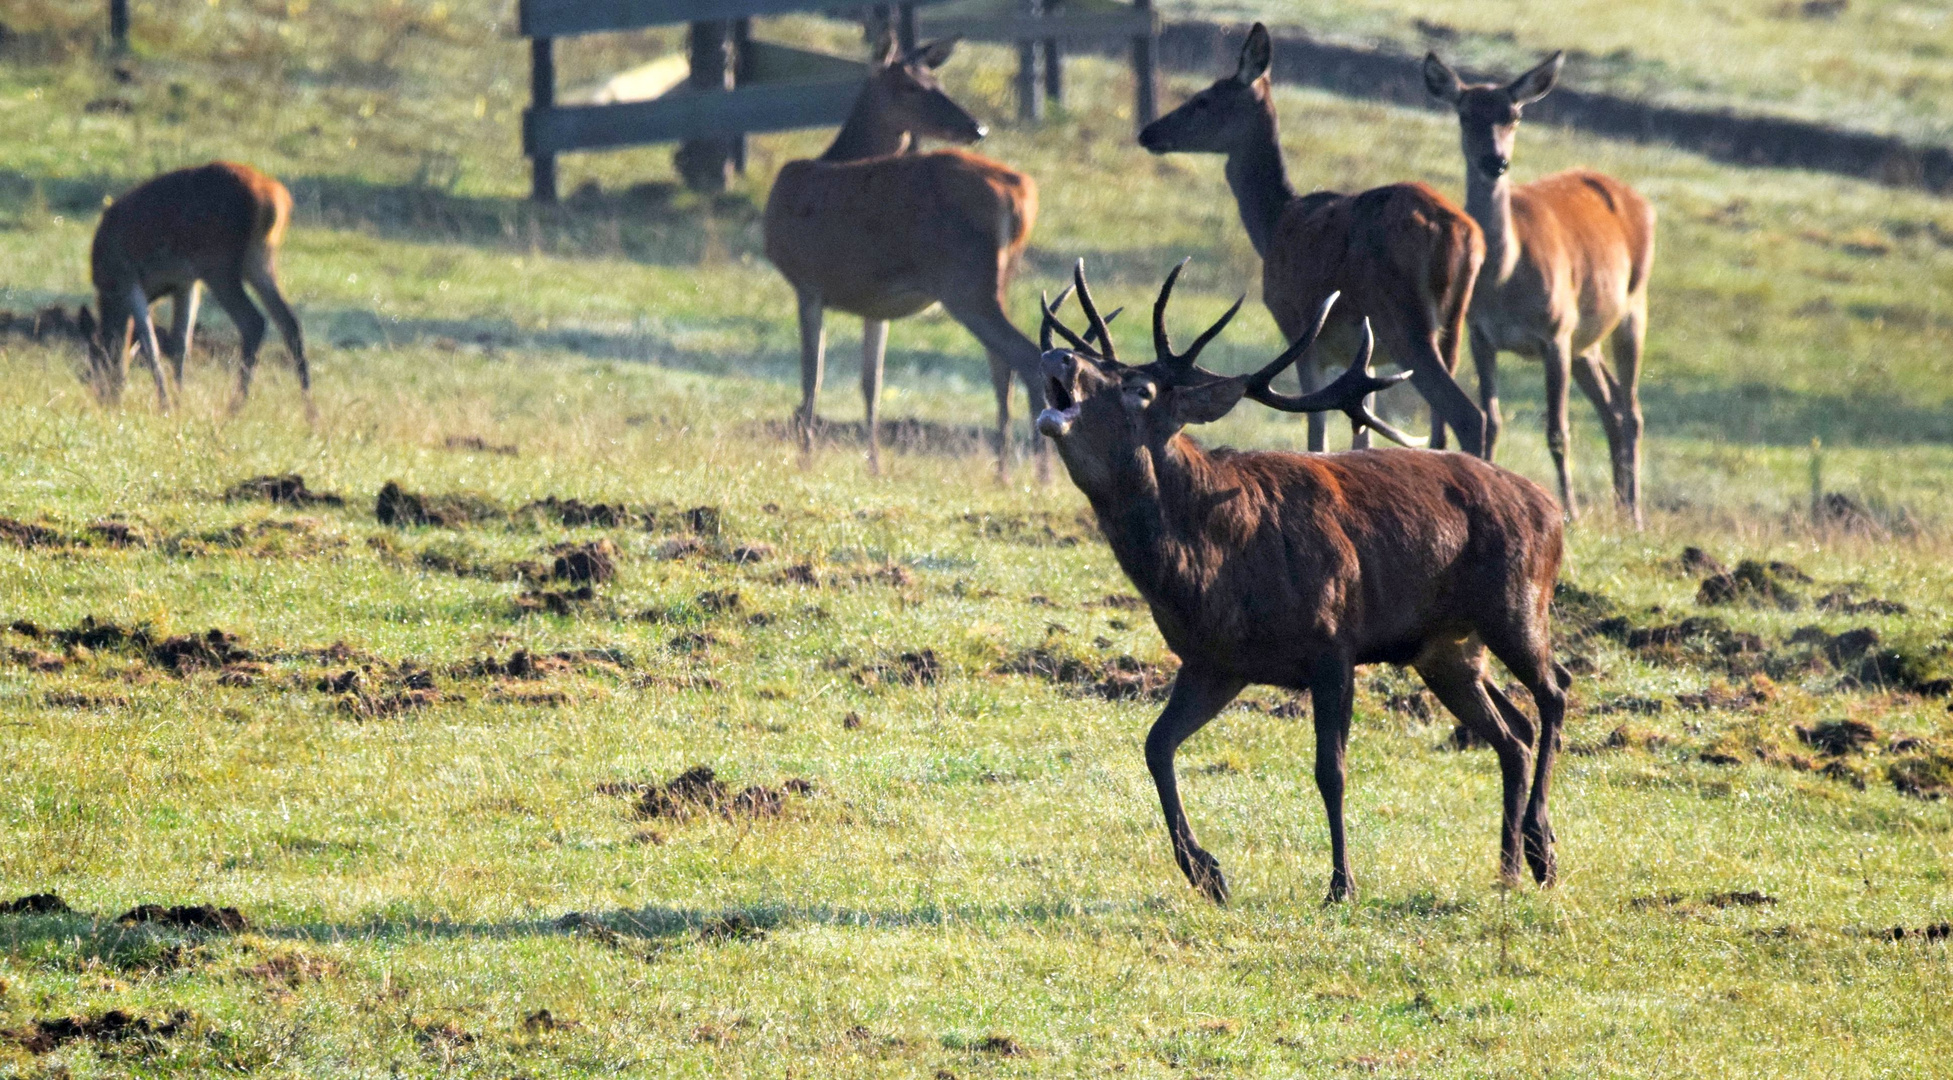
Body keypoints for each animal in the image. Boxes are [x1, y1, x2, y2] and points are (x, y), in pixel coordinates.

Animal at [81, 162, 312, 419]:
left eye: (92, 362)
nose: (104, 399)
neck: (109, 294)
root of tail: (274, 200)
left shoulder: (127, 279)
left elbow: (150, 345)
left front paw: (165, 404)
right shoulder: (185, 283)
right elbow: (181, 344)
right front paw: (178, 403)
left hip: (218, 262)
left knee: (253, 321)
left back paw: (234, 408)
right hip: (259, 259)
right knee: (289, 322)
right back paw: (310, 413)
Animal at [757, 35, 1046, 478]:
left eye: (936, 81)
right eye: (913, 85)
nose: (976, 127)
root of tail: (1019, 195)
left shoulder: (807, 282)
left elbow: (812, 376)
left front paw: (805, 460)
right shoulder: (875, 303)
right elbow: (870, 382)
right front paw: (874, 465)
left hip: (964, 281)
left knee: (1028, 358)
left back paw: (1040, 474)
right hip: (1002, 277)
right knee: (1003, 366)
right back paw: (1004, 472)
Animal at [1038, 261, 1570, 902]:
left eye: (1138, 389)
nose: (1058, 356)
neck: (1209, 569)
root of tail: (1552, 510)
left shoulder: (1332, 642)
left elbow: (1329, 771)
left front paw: (1341, 885)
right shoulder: (1215, 661)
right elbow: (1156, 745)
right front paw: (1206, 873)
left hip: (1517, 603)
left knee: (1554, 693)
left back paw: (1542, 849)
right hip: (1447, 649)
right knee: (1513, 733)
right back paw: (1510, 868)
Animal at [1140, 24, 1484, 455]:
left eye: (1203, 100)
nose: (1148, 132)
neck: (1274, 224)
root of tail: (1460, 233)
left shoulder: (1299, 330)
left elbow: (1316, 434)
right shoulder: (1365, 360)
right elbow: (1362, 437)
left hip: (1406, 321)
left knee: (1469, 415)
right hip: (1452, 327)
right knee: (1445, 427)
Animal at [1429, 52, 1656, 523]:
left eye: (1514, 115)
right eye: (1464, 114)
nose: (1495, 161)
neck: (1504, 277)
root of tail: (1642, 201)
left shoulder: (1555, 332)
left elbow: (1557, 430)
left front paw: (1569, 510)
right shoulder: (1481, 335)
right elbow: (1492, 420)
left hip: (1632, 308)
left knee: (1631, 410)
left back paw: (1635, 515)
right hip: (1587, 340)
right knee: (1611, 407)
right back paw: (1621, 507)